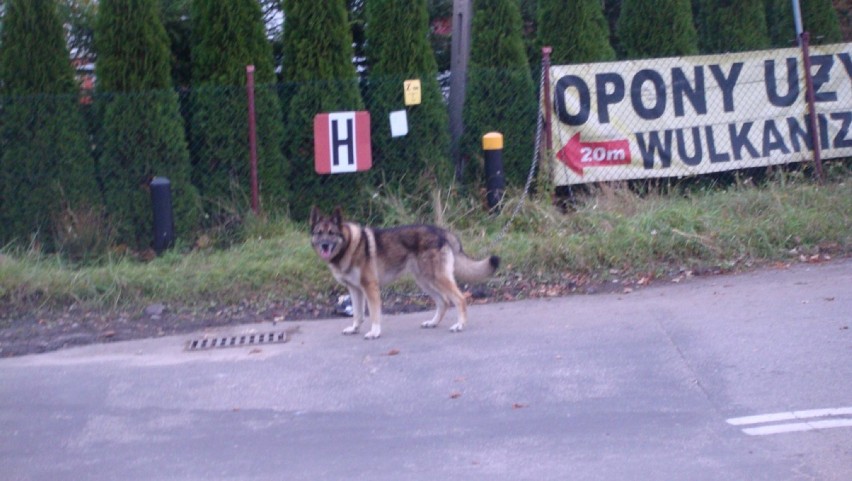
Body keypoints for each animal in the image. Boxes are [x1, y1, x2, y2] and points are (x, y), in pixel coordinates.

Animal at [312, 205, 500, 338]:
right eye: (319, 233)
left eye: (331, 233)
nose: (324, 245)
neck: (350, 245)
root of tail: (443, 232)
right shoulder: (355, 290)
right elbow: (358, 315)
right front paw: (354, 329)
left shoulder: (370, 288)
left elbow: (374, 314)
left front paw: (374, 332)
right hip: (425, 281)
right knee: (444, 302)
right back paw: (432, 323)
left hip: (437, 279)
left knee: (459, 299)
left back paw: (460, 325)